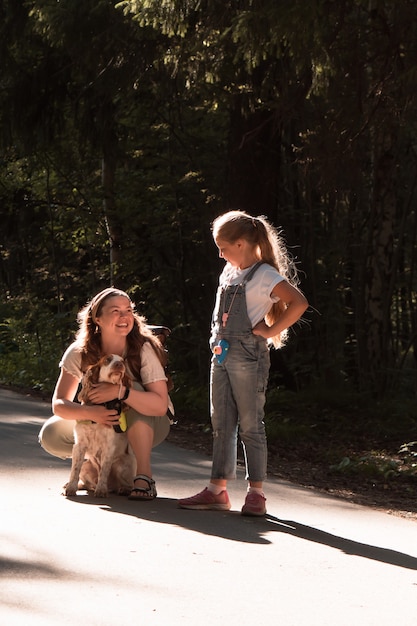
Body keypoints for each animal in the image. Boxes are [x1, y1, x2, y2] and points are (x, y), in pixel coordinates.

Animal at [63, 354, 135, 494]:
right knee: (87, 482)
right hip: (86, 466)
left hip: (123, 466)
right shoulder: (80, 445)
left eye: (123, 361)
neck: (102, 404)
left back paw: (122, 489)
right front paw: (71, 488)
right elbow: (75, 470)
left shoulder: (108, 447)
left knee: (127, 484)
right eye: (108, 359)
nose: (119, 365)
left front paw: (101, 490)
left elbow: (104, 471)